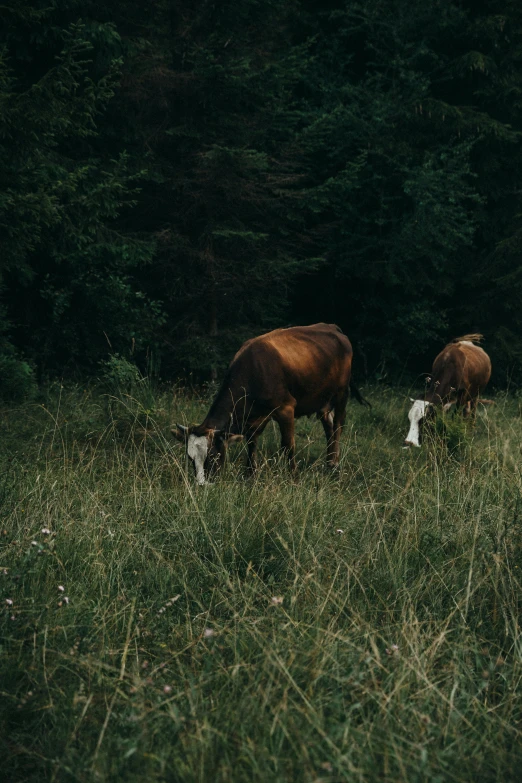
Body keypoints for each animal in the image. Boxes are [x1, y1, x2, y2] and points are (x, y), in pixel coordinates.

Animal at [173, 324, 368, 484]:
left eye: (212, 455)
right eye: (190, 458)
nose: (202, 484)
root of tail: (332, 327)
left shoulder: (285, 409)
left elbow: (288, 445)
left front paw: (294, 478)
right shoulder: (256, 416)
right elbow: (251, 442)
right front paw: (250, 474)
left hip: (341, 393)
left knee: (338, 426)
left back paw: (334, 464)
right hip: (322, 400)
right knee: (328, 426)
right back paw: (328, 462)